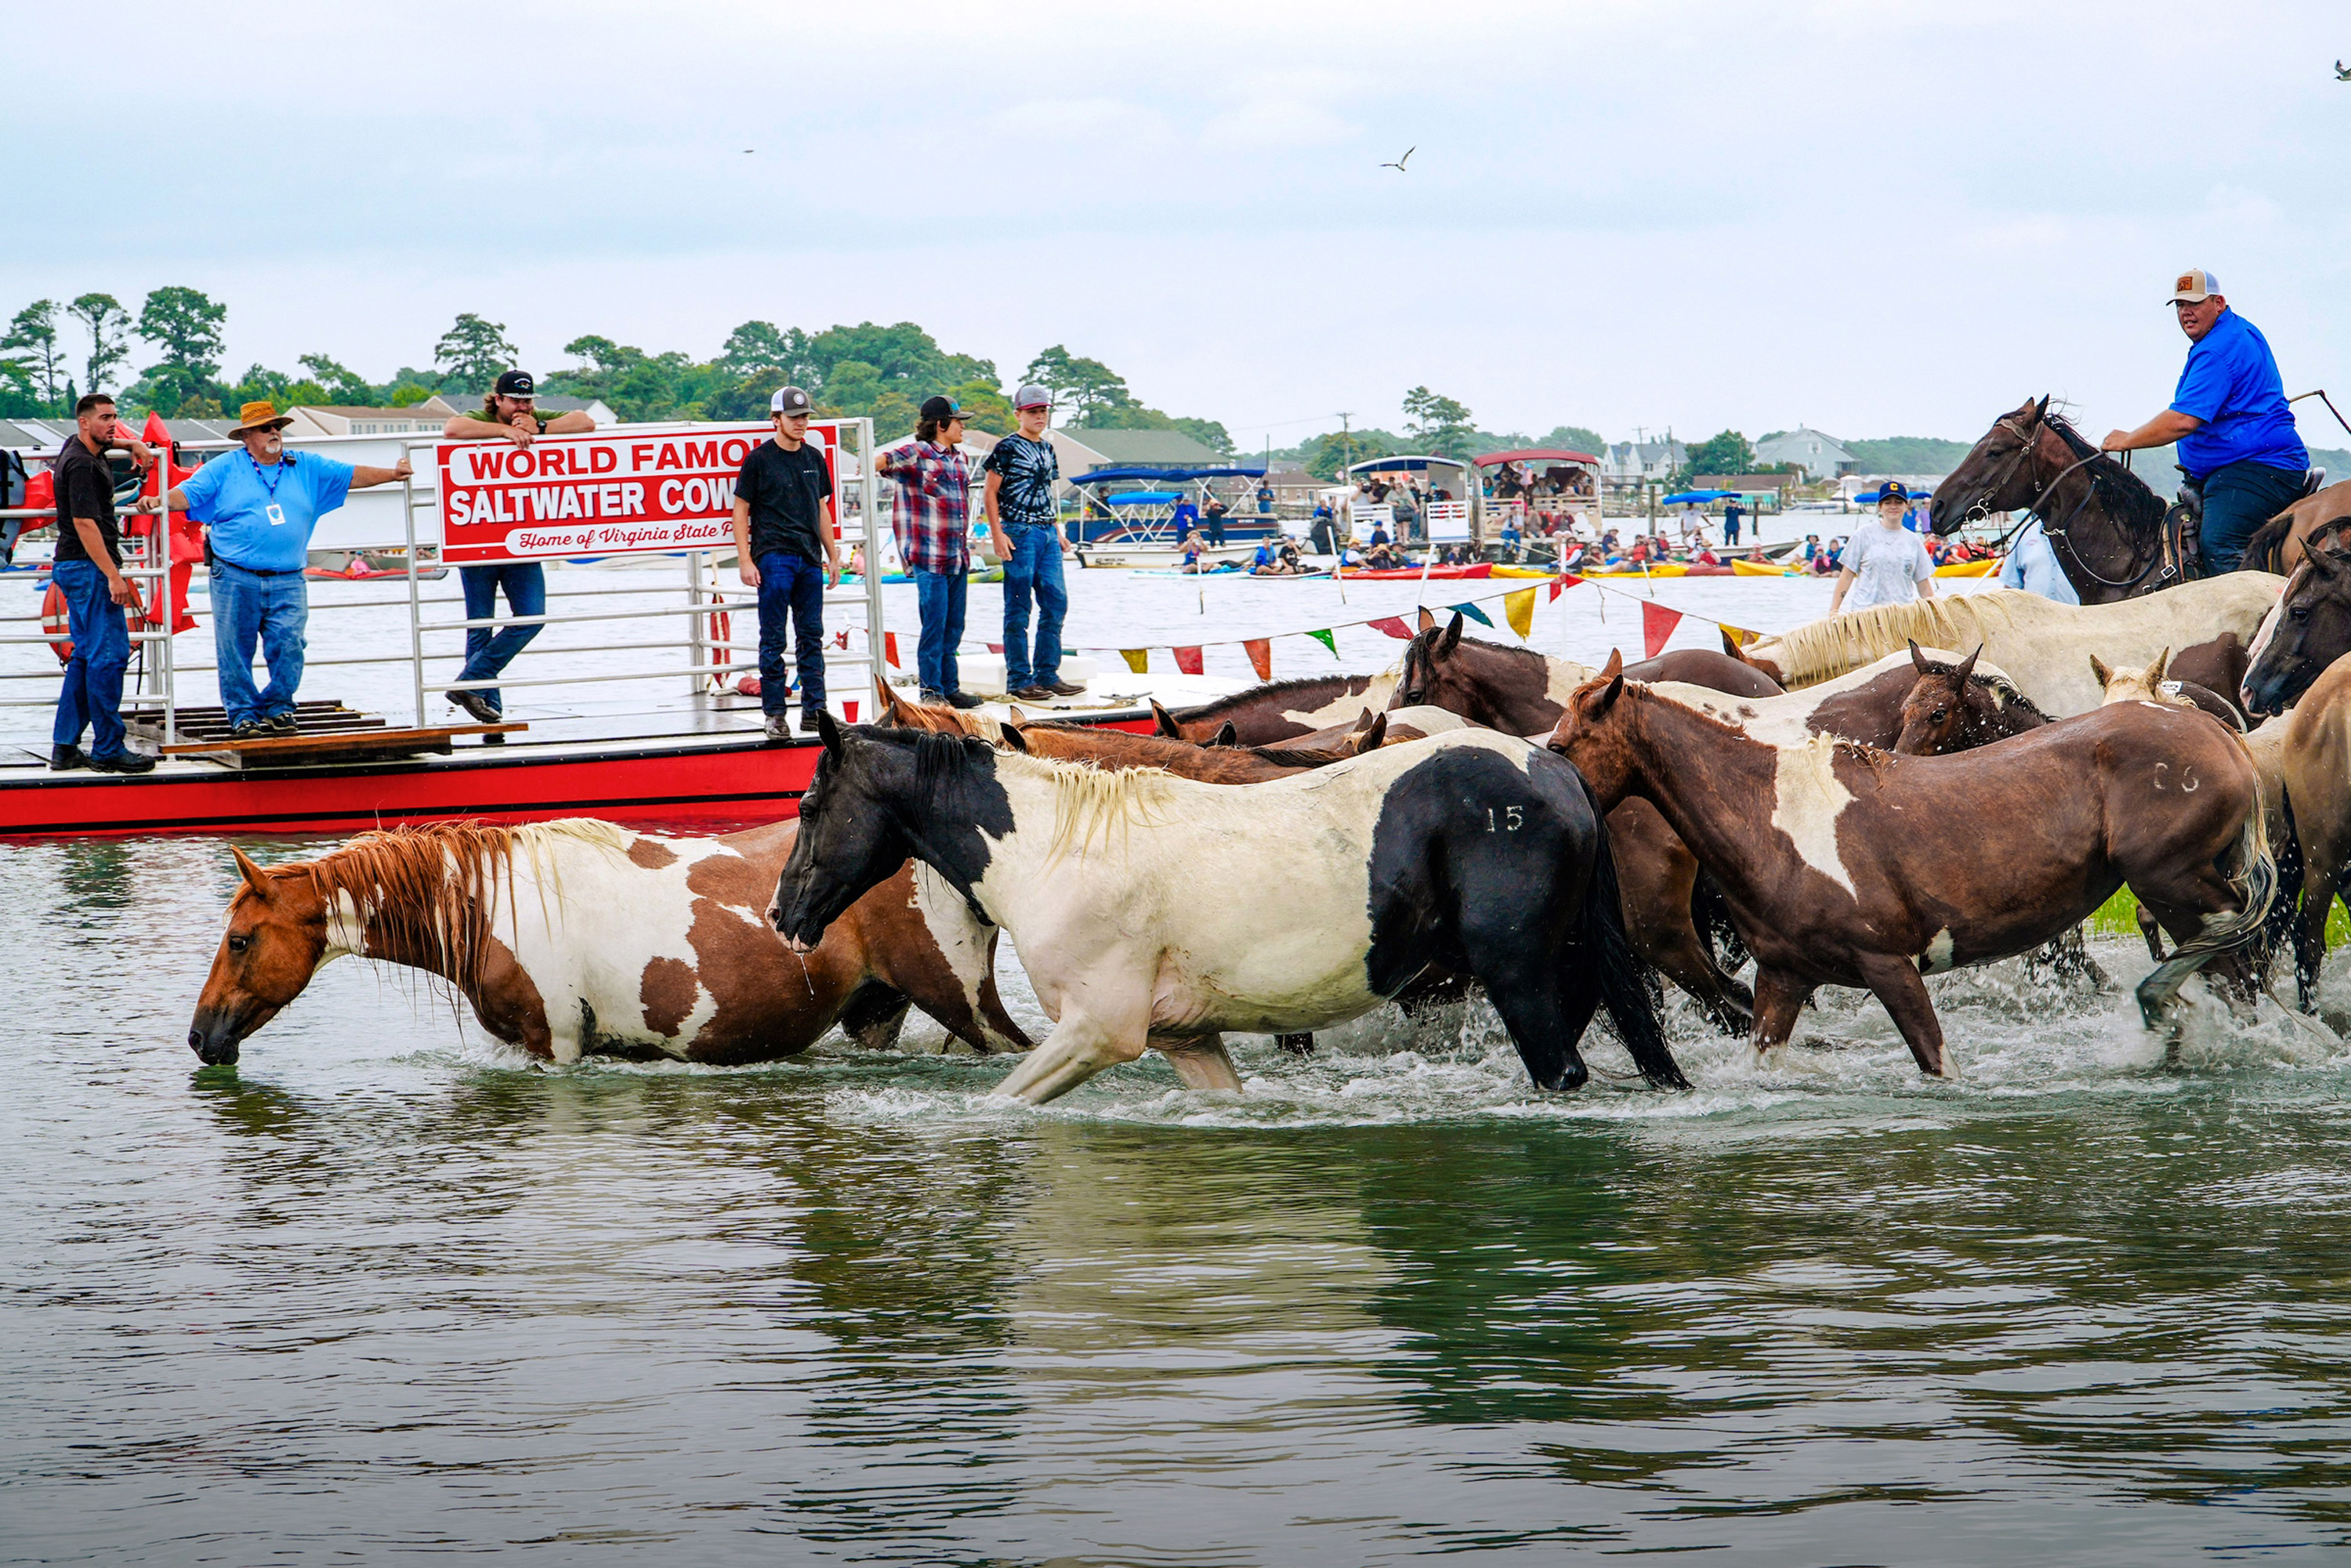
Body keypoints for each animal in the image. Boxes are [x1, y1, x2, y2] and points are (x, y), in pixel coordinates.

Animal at [183, 823, 1030, 1067]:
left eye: (239, 940)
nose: (199, 1037)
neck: (491, 899)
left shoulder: (555, 1046)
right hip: (877, 1012)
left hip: (967, 1005)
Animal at [762, 710, 1683, 1105]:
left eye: (807, 805)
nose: (783, 916)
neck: (1058, 846)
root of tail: (1553, 769)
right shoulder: (1188, 1040)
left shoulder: (1098, 1034)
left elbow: (997, 1107)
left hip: (1520, 979)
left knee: (1560, 1072)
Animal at [1542, 654, 2276, 1081]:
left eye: (1565, 742)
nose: (1549, 794)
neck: (1773, 812)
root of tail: (2215, 733)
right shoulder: (1783, 978)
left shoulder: (1888, 965)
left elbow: (1938, 1064)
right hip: (2179, 895)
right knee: (2233, 970)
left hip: (2175, 885)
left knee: (2236, 950)